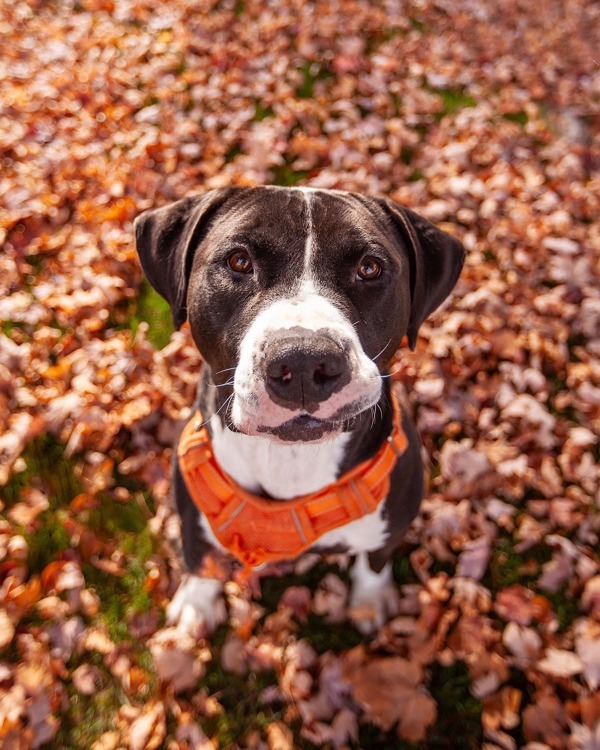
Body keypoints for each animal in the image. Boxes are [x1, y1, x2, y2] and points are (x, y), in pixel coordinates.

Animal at [135, 187, 464, 636]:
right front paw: (196, 602)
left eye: (370, 268)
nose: (305, 361)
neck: (290, 459)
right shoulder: (191, 514)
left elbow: (375, 561)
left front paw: (369, 602)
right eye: (239, 261)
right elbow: (200, 555)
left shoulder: (391, 524)